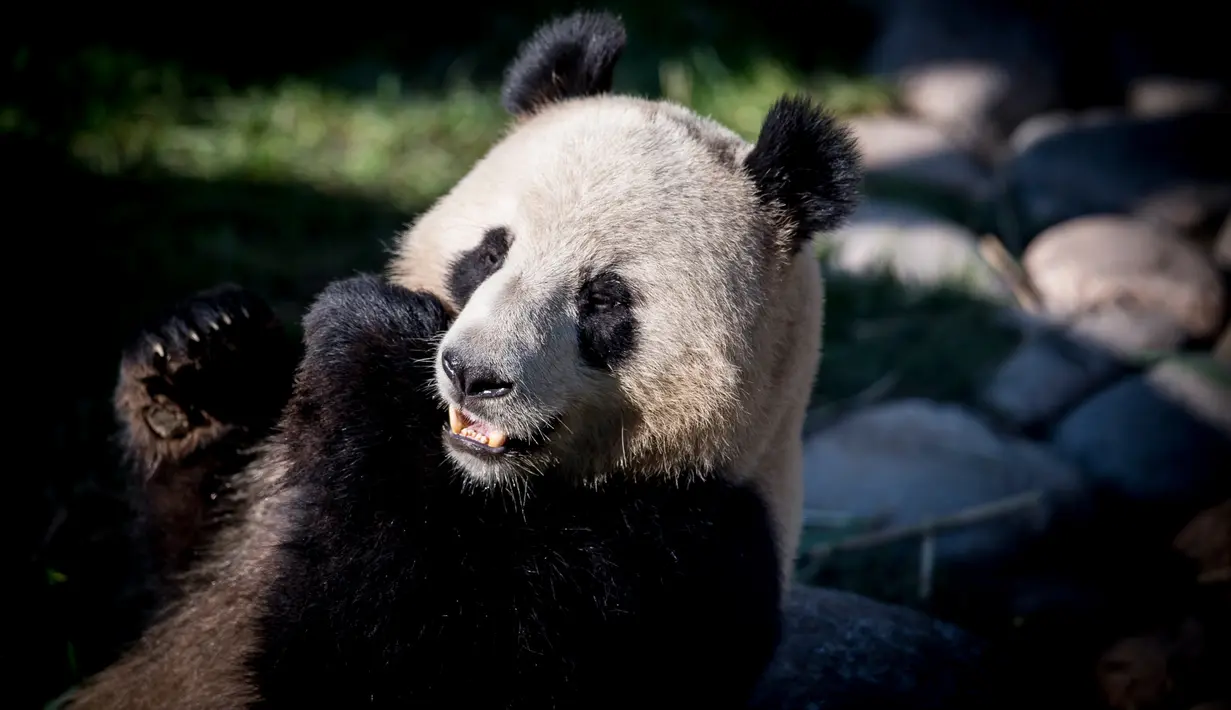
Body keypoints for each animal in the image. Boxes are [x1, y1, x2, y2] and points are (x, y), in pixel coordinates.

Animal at [67, 9, 882, 709]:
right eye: (489, 253)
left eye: (603, 300)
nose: (471, 376)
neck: (488, 485)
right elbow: (180, 573)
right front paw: (203, 354)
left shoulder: (682, 567)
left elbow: (382, 658)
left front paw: (369, 337)